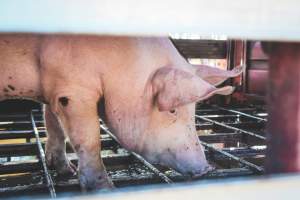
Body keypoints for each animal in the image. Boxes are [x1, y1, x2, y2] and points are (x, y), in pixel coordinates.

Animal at [0, 34, 243, 191]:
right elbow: (89, 139)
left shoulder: (54, 89)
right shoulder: (73, 89)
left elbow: (54, 125)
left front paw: (66, 171)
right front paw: (106, 188)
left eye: (193, 112)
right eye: (173, 110)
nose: (206, 169)